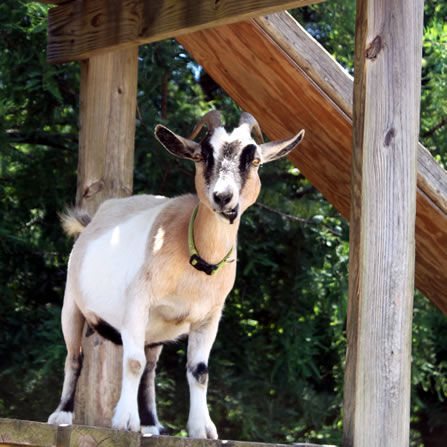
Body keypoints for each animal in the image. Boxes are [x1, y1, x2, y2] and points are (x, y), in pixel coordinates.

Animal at [48, 110, 304, 440]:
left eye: (255, 160)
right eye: (203, 155)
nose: (223, 197)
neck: (196, 264)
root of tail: (91, 221)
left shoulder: (210, 316)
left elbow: (199, 371)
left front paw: (202, 428)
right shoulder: (137, 302)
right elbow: (132, 362)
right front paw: (124, 421)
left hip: (154, 332)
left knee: (149, 368)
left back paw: (152, 424)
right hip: (72, 304)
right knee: (75, 356)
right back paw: (62, 415)